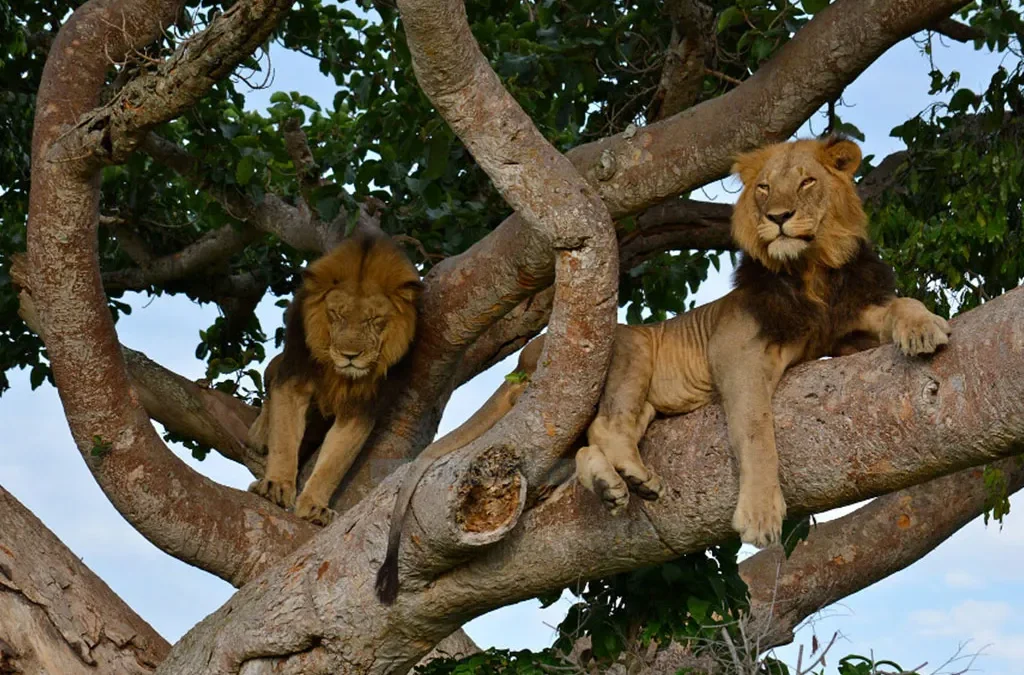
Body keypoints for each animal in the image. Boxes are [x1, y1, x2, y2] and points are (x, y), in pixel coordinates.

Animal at [247, 233, 423, 525]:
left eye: (374, 319)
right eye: (336, 314)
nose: (350, 355)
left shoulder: (363, 406)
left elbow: (335, 462)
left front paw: (314, 507)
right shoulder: (294, 376)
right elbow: (284, 439)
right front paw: (275, 487)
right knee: (269, 378)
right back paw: (259, 433)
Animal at [374, 136, 951, 604]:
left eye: (807, 181)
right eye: (764, 188)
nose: (779, 217)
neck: (811, 271)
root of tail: (522, 361)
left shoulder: (846, 332)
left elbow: (900, 306)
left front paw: (927, 328)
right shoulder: (735, 347)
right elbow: (756, 428)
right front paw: (760, 515)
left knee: (585, 447)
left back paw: (613, 484)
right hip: (628, 344)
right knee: (606, 427)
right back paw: (630, 475)